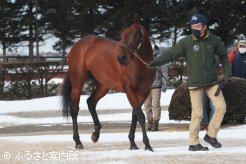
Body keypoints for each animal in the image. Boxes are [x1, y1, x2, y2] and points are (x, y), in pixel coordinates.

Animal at [60, 20, 155, 151]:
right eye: (121, 35)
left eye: (135, 35)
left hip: (103, 86)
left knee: (91, 102)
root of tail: (77, 45)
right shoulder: (129, 90)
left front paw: (132, 143)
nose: (121, 58)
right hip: (77, 84)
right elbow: (140, 116)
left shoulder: (144, 93)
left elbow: (135, 115)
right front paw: (147, 145)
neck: (140, 67)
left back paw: (96, 134)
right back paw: (78, 142)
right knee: (74, 110)